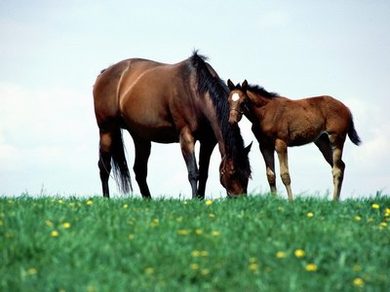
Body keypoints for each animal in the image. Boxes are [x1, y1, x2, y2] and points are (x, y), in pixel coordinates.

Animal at [92, 52, 251, 198]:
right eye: (233, 172)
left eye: (248, 173)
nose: (240, 199)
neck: (194, 90)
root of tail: (104, 73)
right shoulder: (186, 136)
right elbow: (193, 172)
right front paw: (194, 199)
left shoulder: (208, 142)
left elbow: (204, 173)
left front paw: (200, 199)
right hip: (107, 130)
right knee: (104, 167)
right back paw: (106, 199)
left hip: (140, 137)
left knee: (139, 170)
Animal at [227, 79, 362, 201]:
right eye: (228, 101)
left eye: (243, 101)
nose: (232, 120)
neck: (264, 114)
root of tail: (346, 109)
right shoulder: (264, 145)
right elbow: (271, 176)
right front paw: (274, 201)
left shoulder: (280, 143)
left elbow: (285, 175)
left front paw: (291, 201)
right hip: (322, 142)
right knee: (341, 165)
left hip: (336, 139)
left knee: (337, 169)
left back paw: (334, 201)